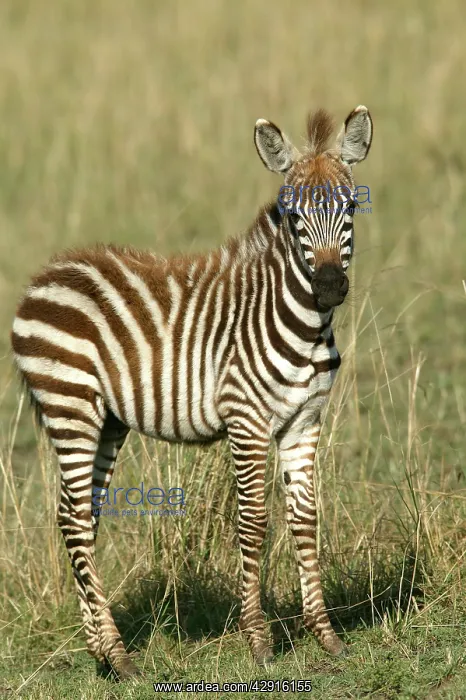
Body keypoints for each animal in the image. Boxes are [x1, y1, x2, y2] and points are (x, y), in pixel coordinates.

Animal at [11, 105, 372, 679]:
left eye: (350, 208)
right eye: (293, 217)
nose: (331, 287)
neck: (304, 324)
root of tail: (46, 274)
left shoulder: (304, 421)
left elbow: (306, 519)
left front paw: (327, 636)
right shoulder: (246, 420)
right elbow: (253, 522)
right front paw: (258, 641)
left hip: (107, 420)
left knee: (81, 514)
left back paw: (101, 652)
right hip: (72, 407)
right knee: (72, 519)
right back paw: (119, 656)